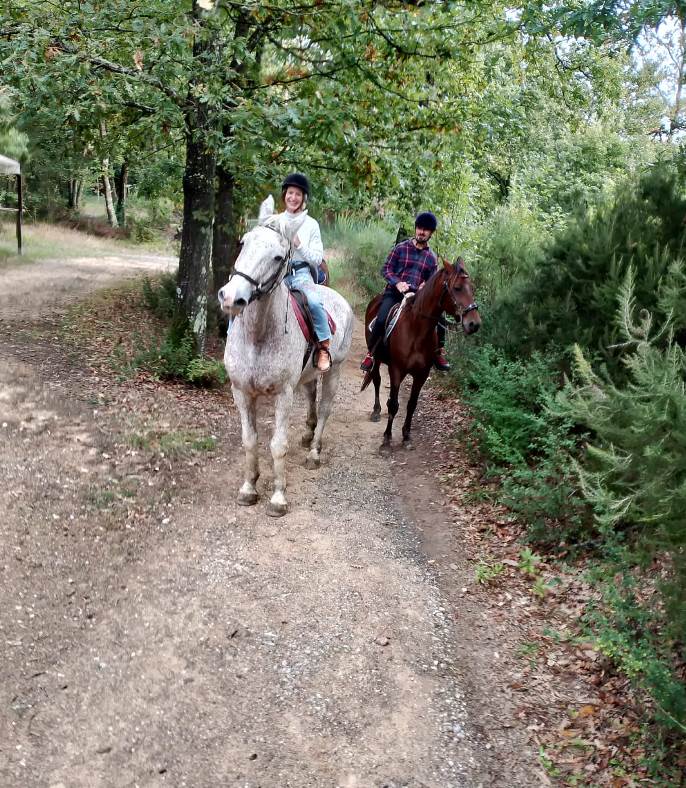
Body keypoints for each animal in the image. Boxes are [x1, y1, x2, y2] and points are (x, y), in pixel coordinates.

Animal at [218, 196, 354, 517]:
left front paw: (278, 498)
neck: (257, 338)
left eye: (279, 257)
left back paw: (314, 452)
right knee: (312, 399)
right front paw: (248, 488)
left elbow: (277, 445)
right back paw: (307, 435)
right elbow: (250, 441)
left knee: (325, 408)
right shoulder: (241, 392)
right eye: (243, 242)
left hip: (335, 370)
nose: (230, 298)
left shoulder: (283, 394)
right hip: (308, 376)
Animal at [362, 258, 481, 450]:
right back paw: (376, 410)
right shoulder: (396, 370)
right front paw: (387, 439)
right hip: (377, 358)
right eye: (457, 288)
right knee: (376, 380)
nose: (474, 324)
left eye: (472, 287)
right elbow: (394, 405)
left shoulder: (422, 374)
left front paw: (406, 436)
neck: (416, 330)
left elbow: (411, 405)